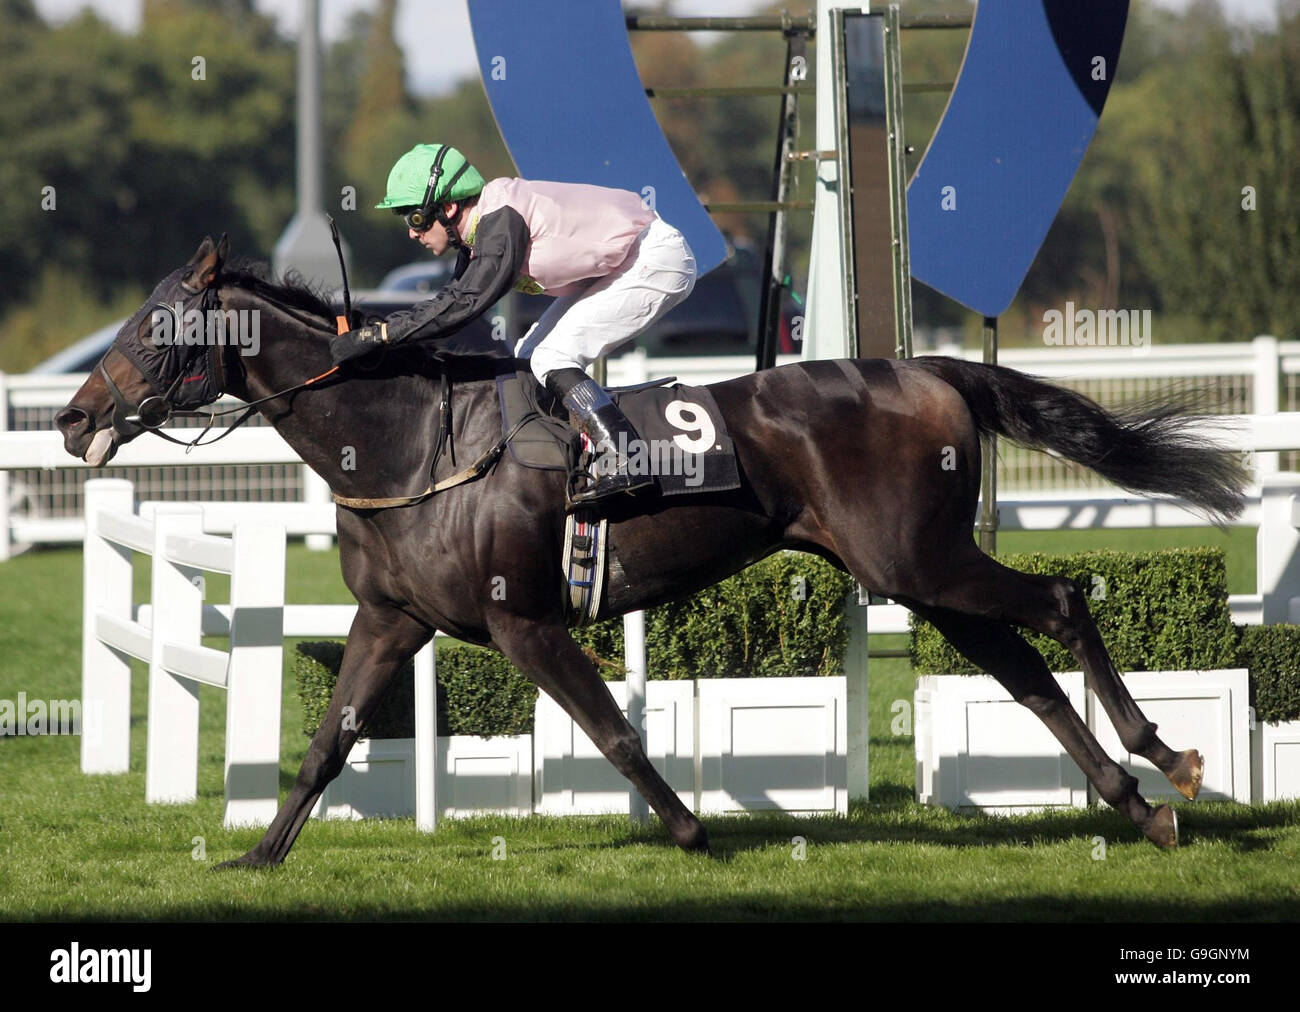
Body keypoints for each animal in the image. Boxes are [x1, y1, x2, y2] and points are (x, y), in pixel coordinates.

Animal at [53, 234, 1248, 858]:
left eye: (158, 329)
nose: (71, 418)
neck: (403, 441)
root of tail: (931, 371)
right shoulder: (393, 617)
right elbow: (329, 740)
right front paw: (260, 853)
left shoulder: (522, 620)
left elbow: (615, 731)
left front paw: (691, 832)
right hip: (912, 573)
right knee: (1021, 665)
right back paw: (1137, 803)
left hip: (918, 563)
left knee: (1063, 603)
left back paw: (1167, 755)